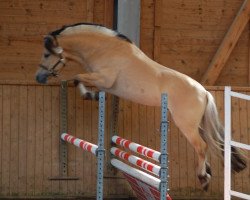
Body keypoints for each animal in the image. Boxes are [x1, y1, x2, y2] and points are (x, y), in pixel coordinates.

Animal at [35, 23, 246, 191]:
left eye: (46, 54)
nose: (39, 77)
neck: (104, 49)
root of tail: (204, 92)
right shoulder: (101, 81)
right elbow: (76, 80)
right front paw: (92, 95)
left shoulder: (104, 79)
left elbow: (76, 77)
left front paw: (89, 95)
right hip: (197, 125)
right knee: (208, 144)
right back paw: (207, 173)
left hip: (185, 124)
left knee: (202, 146)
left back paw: (203, 178)